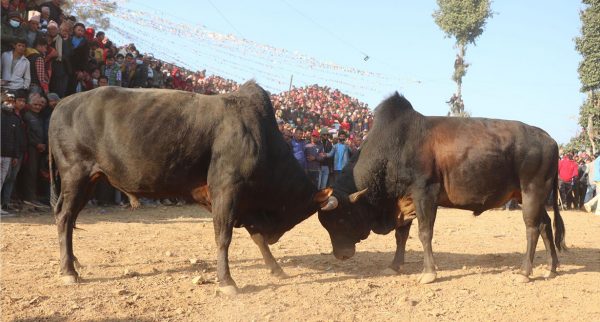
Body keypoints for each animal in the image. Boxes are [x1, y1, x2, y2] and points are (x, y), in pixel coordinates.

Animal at [49, 81, 336, 294]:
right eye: (300, 214)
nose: (276, 236)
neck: (261, 138)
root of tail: (63, 103)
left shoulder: (241, 202)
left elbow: (257, 237)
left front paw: (276, 268)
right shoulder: (227, 190)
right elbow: (224, 237)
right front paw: (227, 281)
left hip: (90, 180)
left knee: (69, 217)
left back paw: (72, 262)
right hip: (76, 175)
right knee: (64, 217)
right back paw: (68, 271)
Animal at [318, 93, 568, 284]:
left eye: (341, 219)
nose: (341, 255)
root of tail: (550, 139)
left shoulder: (425, 193)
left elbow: (424, 233)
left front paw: (429, 273)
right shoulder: (404, 199)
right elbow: (401, 235)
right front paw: (394, 265)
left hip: (532, 190)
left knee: (532, 228)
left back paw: (525, 272)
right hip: (531, 196)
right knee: (545, 225)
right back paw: (551, 268)